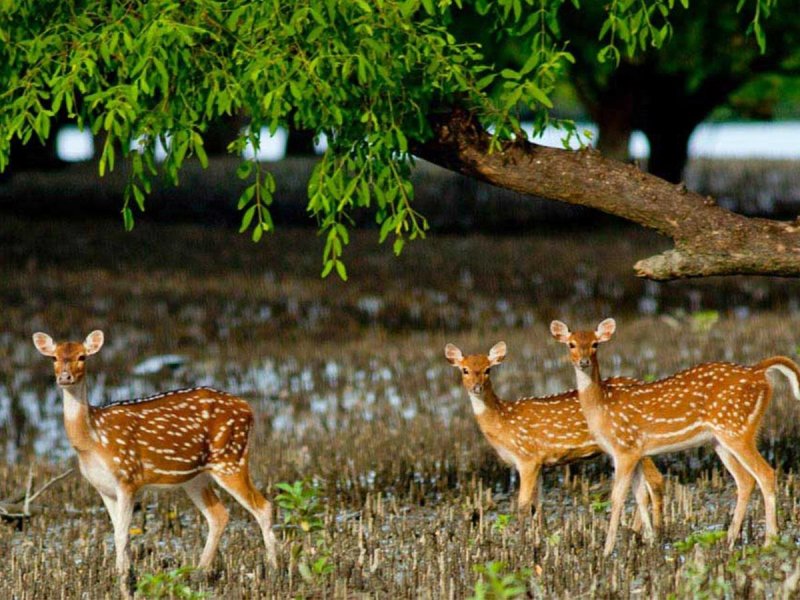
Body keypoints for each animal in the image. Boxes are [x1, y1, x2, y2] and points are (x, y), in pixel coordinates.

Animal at [32, 328, 278, 584]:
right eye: (54, 358)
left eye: (82, 356)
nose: (65, 377)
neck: (92, 440)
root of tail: (248, 408)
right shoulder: (103, 487)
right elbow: (116, 532)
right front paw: (121, 573)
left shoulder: (128, 477)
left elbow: (122, 534)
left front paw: (125, 579)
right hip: (196, 477)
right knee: (218, 515)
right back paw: (199, 571)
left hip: (230, 458)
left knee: (264, 507)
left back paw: (273, 570)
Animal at [444, 342, 664, 528]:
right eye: (464, 370)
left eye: (488, 369)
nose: (476, 387)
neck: (503, 422)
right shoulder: (540, 462)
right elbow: (538, 505)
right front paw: (539, 538)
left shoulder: (527, 457)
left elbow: (523, 505)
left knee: (655, 481)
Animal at [552, 318, 800, 556]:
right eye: (571, 344)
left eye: (595, 344)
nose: (583, 361)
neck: (602, 407)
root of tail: (758, 371)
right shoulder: (636, 451)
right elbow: (640, 495)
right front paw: (651, 540)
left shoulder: (624, 448)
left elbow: (618, 496)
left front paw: (607, 550)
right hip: (721, 439)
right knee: (745, 480)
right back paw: (729, 541)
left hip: (737, 429)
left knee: (766, 473)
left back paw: (769, 541)